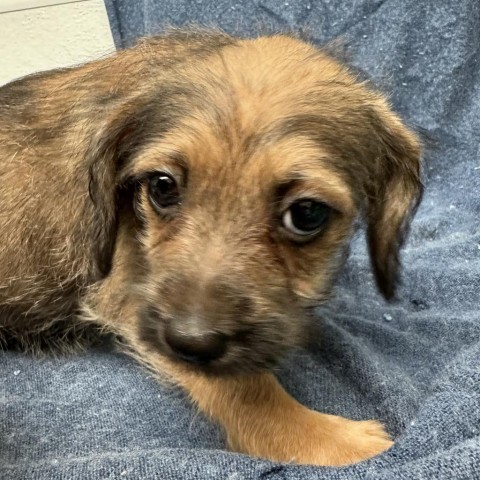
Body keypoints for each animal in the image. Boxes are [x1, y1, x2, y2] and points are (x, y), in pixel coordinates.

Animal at [0, 28, 420, 464]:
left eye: (306, 214)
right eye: (162, 187)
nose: (190, 340)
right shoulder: (127, 285)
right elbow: (243, 389)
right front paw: (325, 438)